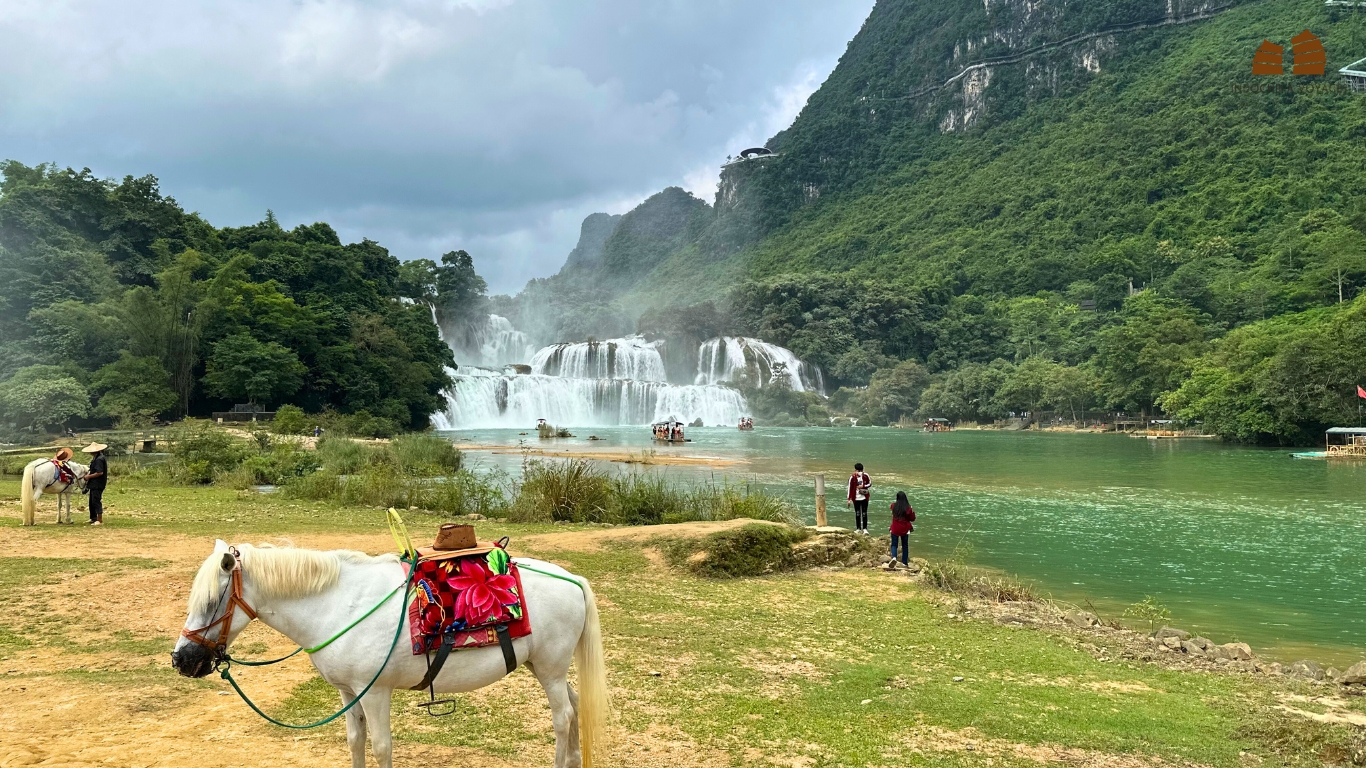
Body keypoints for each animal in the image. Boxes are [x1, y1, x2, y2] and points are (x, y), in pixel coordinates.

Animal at [174, 538, 609, 765]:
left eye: (211, 601)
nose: (181, 660)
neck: (338, 605)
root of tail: (572, 578)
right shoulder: (348, 693)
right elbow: (355, 740)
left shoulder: (375, 693)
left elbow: (382, 746)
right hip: (544, 668)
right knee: (575, 708)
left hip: (550, 670)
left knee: (563, 717)